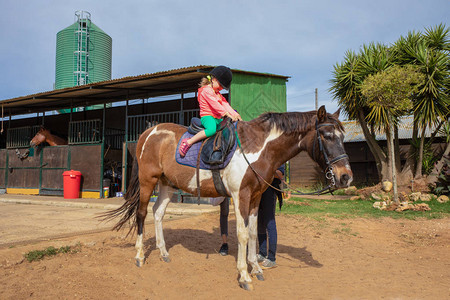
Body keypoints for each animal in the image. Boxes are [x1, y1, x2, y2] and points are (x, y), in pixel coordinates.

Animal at [107, 105, 354, 290]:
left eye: (342, 136)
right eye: (327, 136)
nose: (345, 177)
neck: (258, 148)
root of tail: (148, 133)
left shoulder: (255, 198)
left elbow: (254, 233)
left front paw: (256, 268)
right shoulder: (240, 196)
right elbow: (242, 234)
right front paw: (244, 276)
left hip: (167, 184)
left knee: (157, 213)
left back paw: (164, 253)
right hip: (148, 181)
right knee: (141, 214)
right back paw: (140, 256)